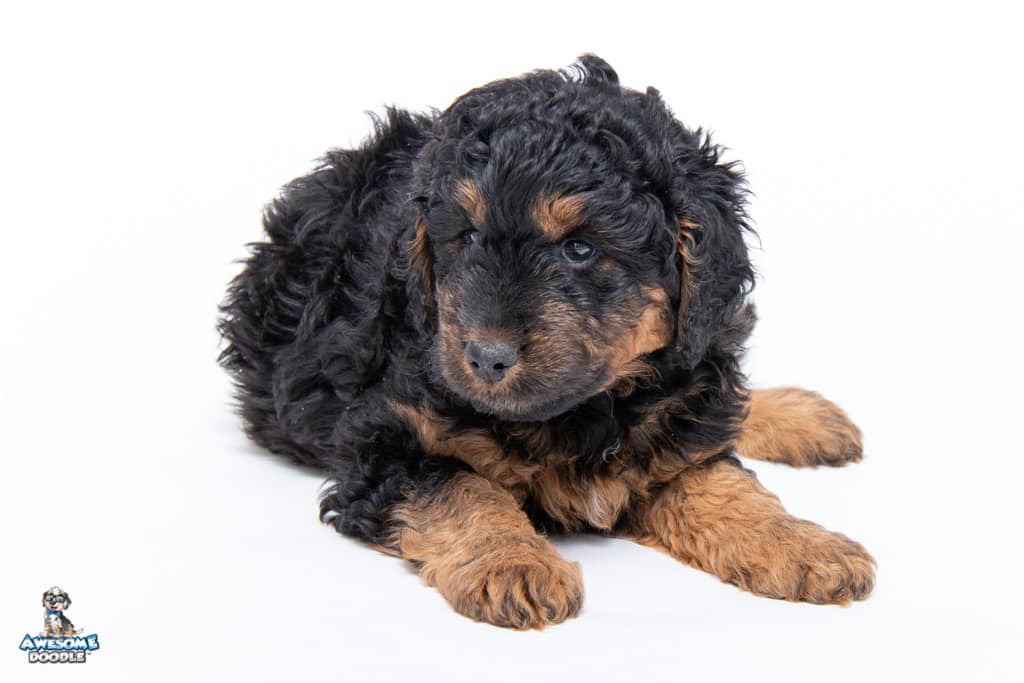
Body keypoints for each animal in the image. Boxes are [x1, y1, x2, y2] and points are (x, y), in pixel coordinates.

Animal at [216, 54, 872, 630]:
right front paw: (512, 563)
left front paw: (803, 545)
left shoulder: (673, 424)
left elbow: (724, 484)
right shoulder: (382, 437)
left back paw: (802, 415)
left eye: (579, 248)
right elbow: (459, 486)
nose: (486, 358)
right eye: (467, 236)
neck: (587, 409)